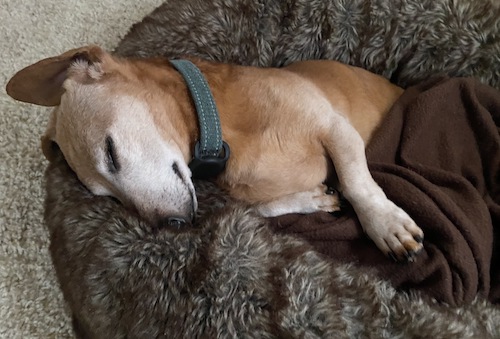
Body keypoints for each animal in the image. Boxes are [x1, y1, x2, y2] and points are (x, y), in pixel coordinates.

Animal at [5, 45, 424, 260]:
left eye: (110, 153)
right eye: (105, 197)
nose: (172, 226)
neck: (221, 125)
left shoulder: (337, 130)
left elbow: (357, 182)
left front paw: (385, 223)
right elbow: (266, 208)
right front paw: (313, 198)